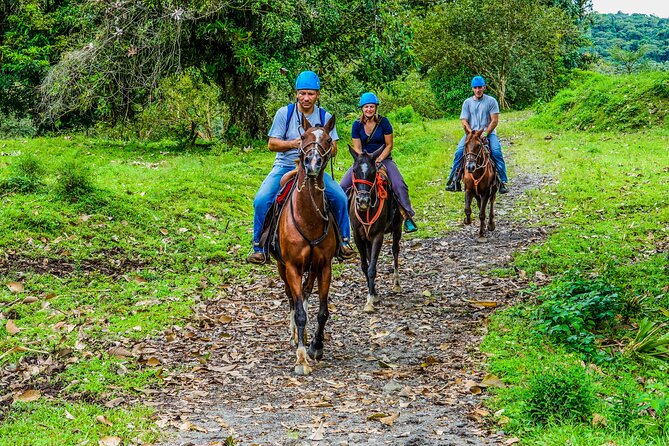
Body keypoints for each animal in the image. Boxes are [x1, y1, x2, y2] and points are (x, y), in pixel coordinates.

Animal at [348, 145, 400, 312]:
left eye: (372, 173)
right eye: (354, 171)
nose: (363, 201)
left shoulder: (378, 235)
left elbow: (372, 268)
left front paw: (370, 300)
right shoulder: (358, 236)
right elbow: (366, 266)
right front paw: (374, 294)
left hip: (398, 228)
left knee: (395, 251)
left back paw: (397, 284)